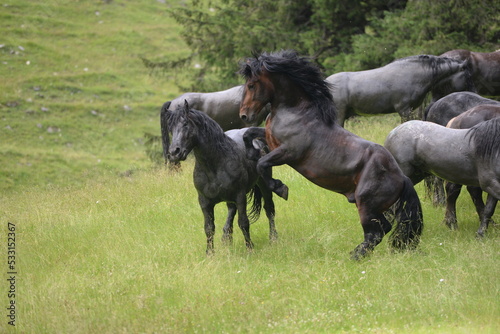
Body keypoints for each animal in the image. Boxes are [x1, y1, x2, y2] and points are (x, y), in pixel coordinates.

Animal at [159, 100, 286, 254]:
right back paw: (226, 238)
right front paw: (210, 253)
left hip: (263, 184)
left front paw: (250, 248)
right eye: (170, 128)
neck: (215, 166)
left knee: (269, 209)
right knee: (231, 210)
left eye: (185, 124)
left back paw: (273, 238)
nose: (174, 152)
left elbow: (243, 222)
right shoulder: (204, 202)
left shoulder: (240, 196)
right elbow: (209, 228)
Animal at [238, 49, 422, 260]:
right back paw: (356, 253)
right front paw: (251, 152)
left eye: (251, 85)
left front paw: (281, 188)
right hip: (373, 208)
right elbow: (248, 134)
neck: (295, 112)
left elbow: (262, 163)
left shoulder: (289, 152)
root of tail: (401, 178)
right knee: (382, 229)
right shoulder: (271, 140)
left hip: (366, 205)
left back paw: (354, 257)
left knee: (376, 232)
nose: (244, 115)